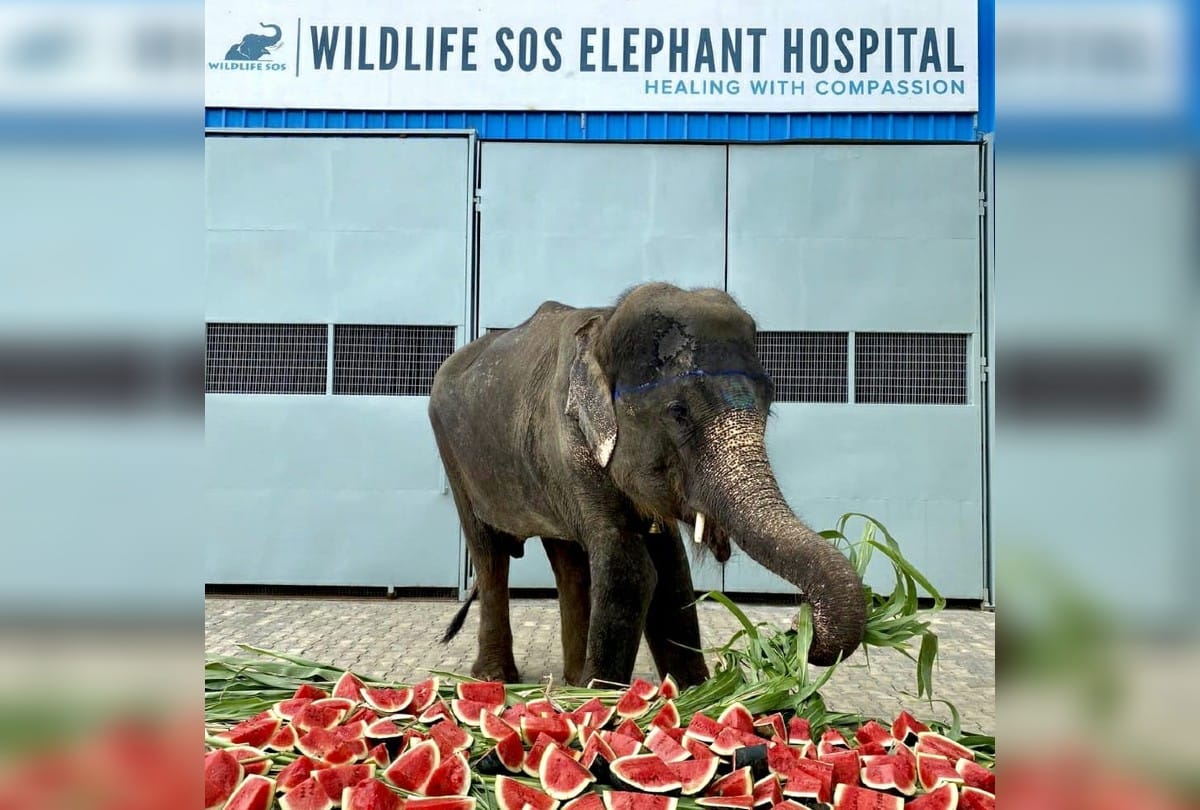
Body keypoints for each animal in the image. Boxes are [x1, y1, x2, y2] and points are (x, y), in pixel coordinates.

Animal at [430, 283, 867, 688]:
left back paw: (570, 681)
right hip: (454, 457)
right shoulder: (570, 445)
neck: (603, 326)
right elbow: (631, 568)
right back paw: (497, 678)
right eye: (678, 412)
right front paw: (601, 697)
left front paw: (698, 691)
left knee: (567, 557)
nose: (800, 631)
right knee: (489, 555)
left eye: (770, 404)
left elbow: (673, 572)